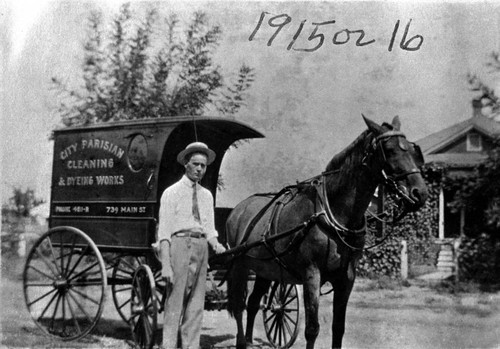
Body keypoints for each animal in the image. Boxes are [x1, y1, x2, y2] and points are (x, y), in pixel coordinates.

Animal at [225, 116, 428, 348]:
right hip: (240, 265)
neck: (335, 214)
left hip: (265, 269)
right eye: (390, 150)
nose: (420, 193)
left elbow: (338, 328)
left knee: (253, 303)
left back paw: (249, 340)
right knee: (239, 305)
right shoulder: (311, 274)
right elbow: (312, 329)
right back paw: (242, 340)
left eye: (412, 150)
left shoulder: (346, 278)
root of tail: (238, 209)